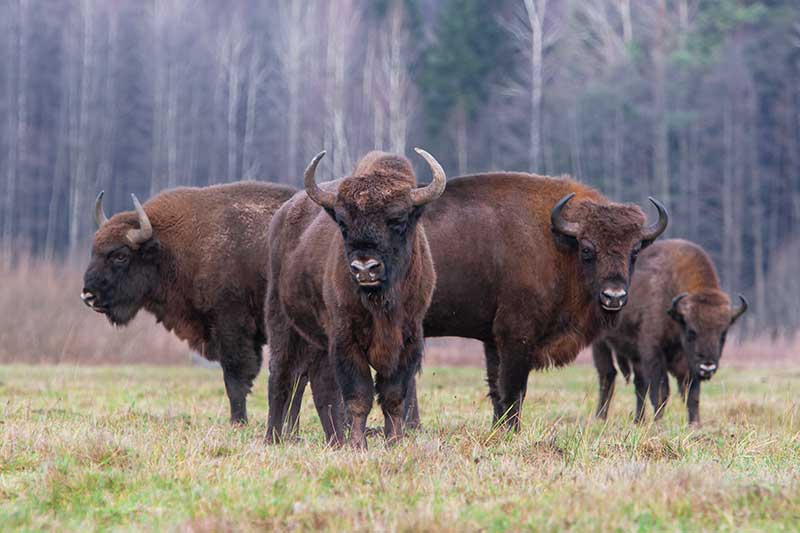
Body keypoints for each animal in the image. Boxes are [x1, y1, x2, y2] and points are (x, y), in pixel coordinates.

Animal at [81, 182, 296, 424]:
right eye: (94, 251)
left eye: (120, 256)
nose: (88, 296)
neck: (171, 247)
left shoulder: (232, 328)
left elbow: (235, 378)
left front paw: (238, 422)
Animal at [265, 149, 446, 448]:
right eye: (342, 223)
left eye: (398, 220)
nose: (364, 268)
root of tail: (281, 216)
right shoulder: (345, 340)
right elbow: (359, 396)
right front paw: (358, 445)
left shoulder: (408, 339)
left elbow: (393, 396)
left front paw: (394, 442)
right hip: (282, 323)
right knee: (281, 378)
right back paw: (274, 438)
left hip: (318, 341)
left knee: (317, 385)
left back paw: (334, 440)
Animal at [592, 239, 748, 424]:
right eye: (691, 331)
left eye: (723, 334)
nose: (707, 367)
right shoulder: (654, 354)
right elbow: (661, 392)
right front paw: (658, 422)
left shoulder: (688, 365)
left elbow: (692, 395)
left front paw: (695, 424)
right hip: (600, 344)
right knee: (607, 376)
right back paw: (600, 418)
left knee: (639, 384)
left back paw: (639, 420)